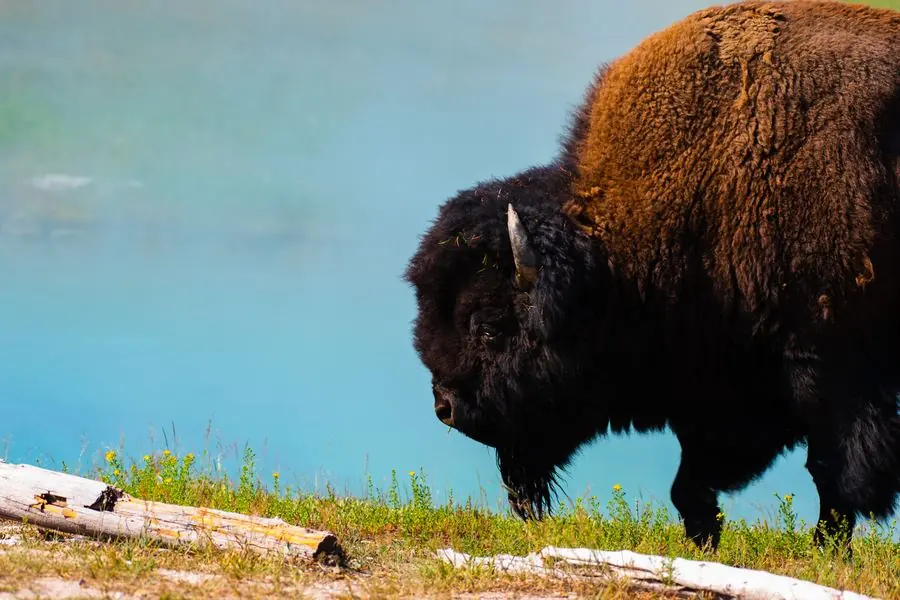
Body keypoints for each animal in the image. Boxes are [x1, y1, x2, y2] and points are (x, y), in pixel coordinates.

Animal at [404, 0, 900, 553]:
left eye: (489, 327)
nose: (445, 407)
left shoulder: (825, 368)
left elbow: (832, 472)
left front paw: (826, 550)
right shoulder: (720, 389)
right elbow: (691, 483)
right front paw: (706, 538)